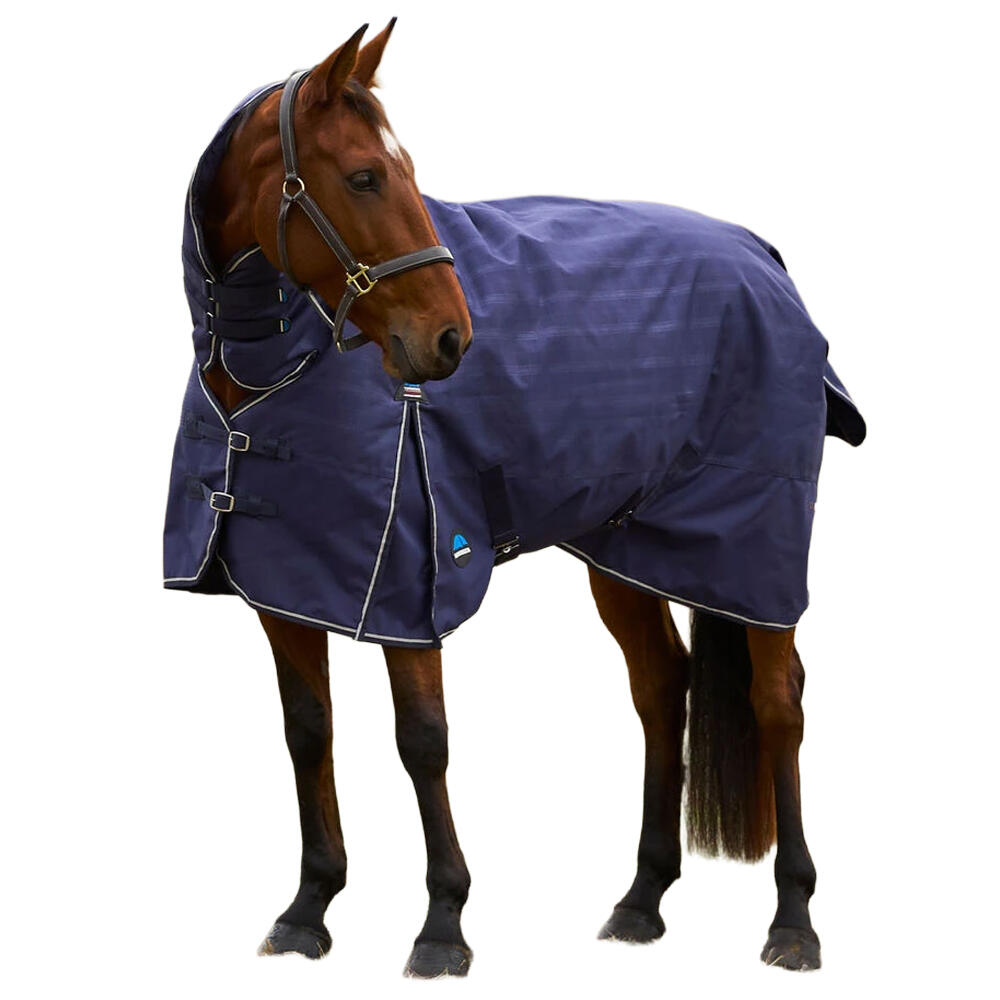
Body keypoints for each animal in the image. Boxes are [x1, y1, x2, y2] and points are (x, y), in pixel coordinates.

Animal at [170, 20, 863, 978]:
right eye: (364, 176)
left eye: (402, 170)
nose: (449, 339)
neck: (276, 366)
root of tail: (763, 256)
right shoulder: (286, 581)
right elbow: (308, 729)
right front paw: (309, 909)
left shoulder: (410, 580)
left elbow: (422, 740)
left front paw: (441, 926)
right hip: (631, 548)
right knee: (663, 688)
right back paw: (641, 901)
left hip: (754, 546)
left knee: (777, 703)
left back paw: (793, 920)